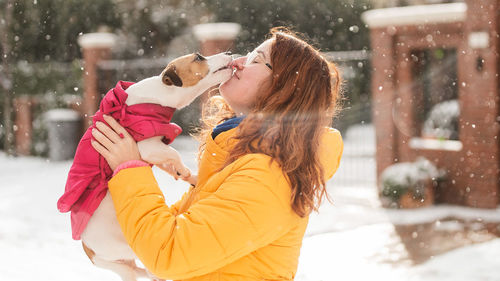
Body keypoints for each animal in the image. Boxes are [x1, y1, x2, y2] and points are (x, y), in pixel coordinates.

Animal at [57, 51, 234, 278]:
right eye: (198, 58)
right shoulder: (147, 146)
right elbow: (173, 153)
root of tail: (89, 251)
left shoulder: (156, 149)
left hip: (123, 262)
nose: (228, 53)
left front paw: (188, 175)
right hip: (125, 252)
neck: (158, 95)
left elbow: (169, 161)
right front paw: (182, 170)